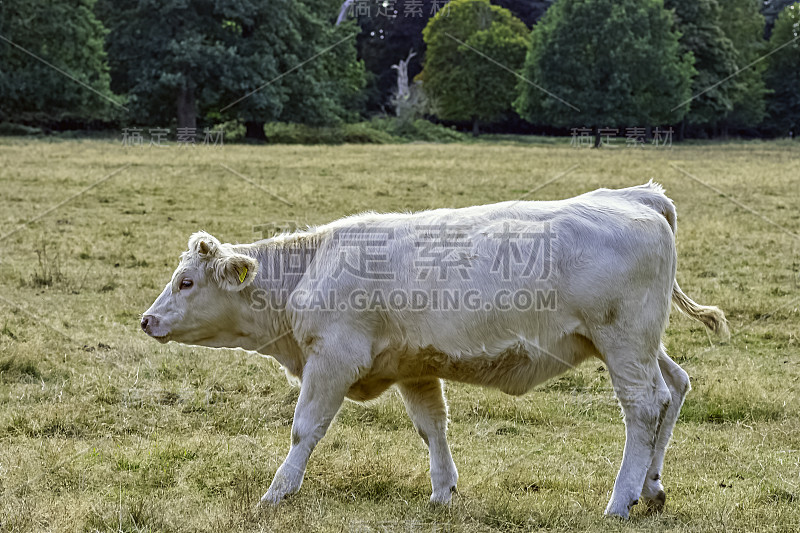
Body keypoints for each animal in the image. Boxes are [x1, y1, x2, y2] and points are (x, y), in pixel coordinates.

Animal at [141, 182, 728, 516]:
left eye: (186, 282)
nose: (147, 320)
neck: (310, 268)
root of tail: (638, 196)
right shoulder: (413, 367)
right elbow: (432, 427)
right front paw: (443, 492)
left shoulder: (331, 360)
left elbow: (304, 429)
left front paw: (277, 493)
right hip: (640, 344)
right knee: (673, 388)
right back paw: (652, 488)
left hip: (623, 342)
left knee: (644, 407)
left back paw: (621, 500)